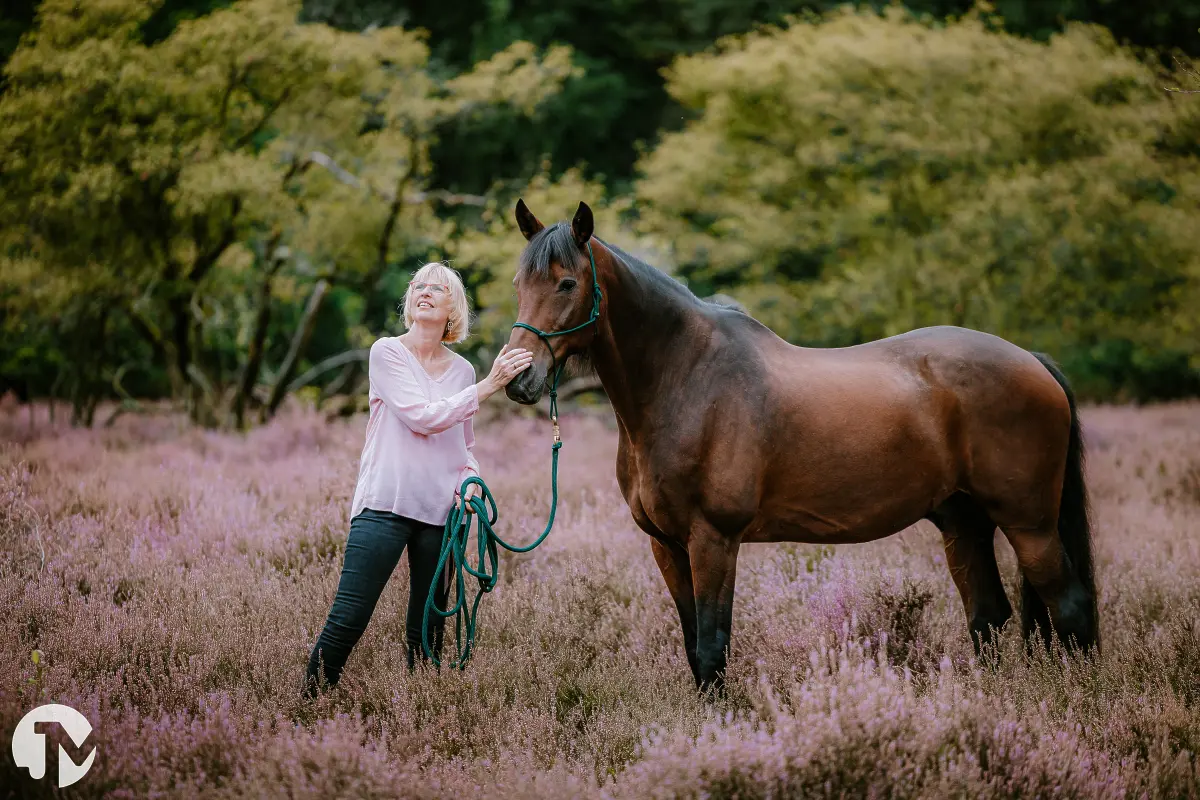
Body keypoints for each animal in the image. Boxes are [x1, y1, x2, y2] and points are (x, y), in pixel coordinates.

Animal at [503, 199, 1100, 694]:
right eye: (518, 283)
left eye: (566, 283)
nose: (518, 379)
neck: (686, 379)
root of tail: (1031, 360)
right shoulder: (666, 546)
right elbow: (694, 648)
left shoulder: (713, 540)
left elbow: (712, 648)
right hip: (964, 523)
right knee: (988, 616)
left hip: (1029, 525)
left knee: (1070, 608)